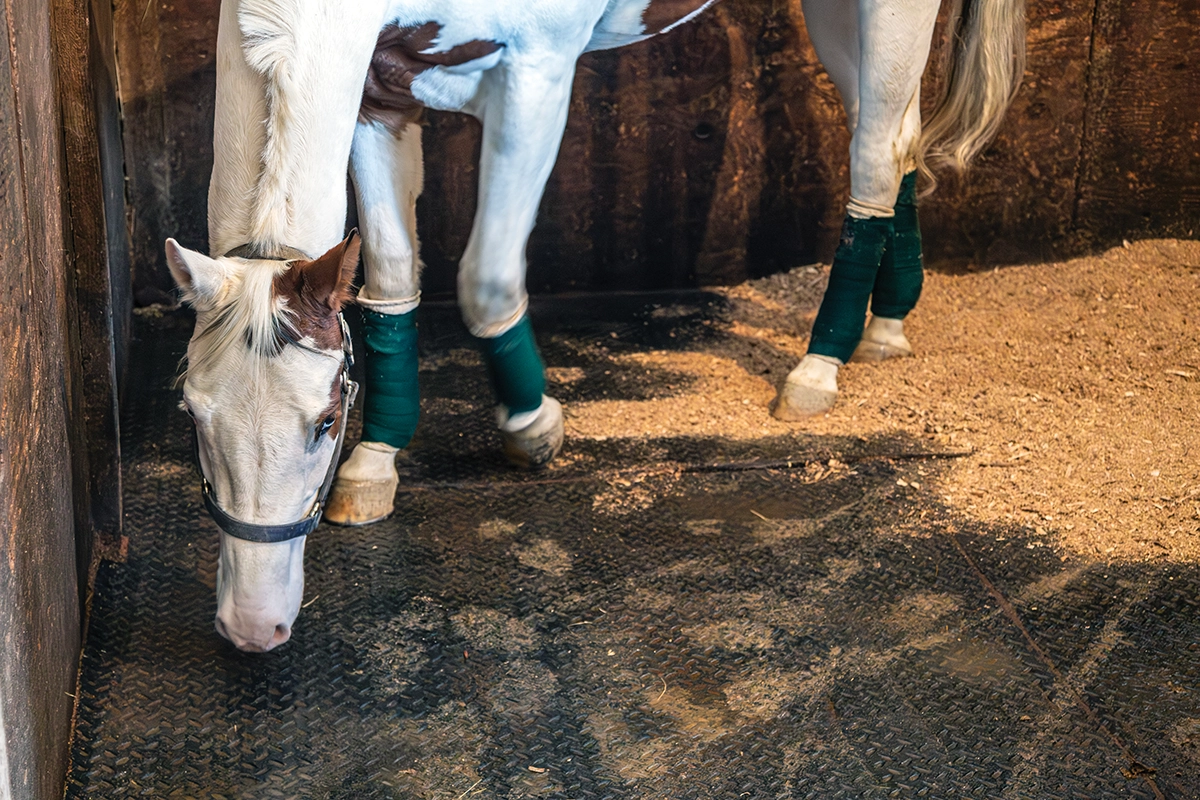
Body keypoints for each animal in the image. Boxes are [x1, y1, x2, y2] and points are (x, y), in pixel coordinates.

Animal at [166, 0, 1023, 651]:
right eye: (192, 417)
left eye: (322, 421)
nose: (252, 627)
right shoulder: (383, 93)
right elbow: (393, 280)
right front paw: (378, 463)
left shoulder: (537, 74)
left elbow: (485, 279)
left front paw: (533, 426)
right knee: (895, 139)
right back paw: (886, 329)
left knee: (875, 157)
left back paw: (819, 369)